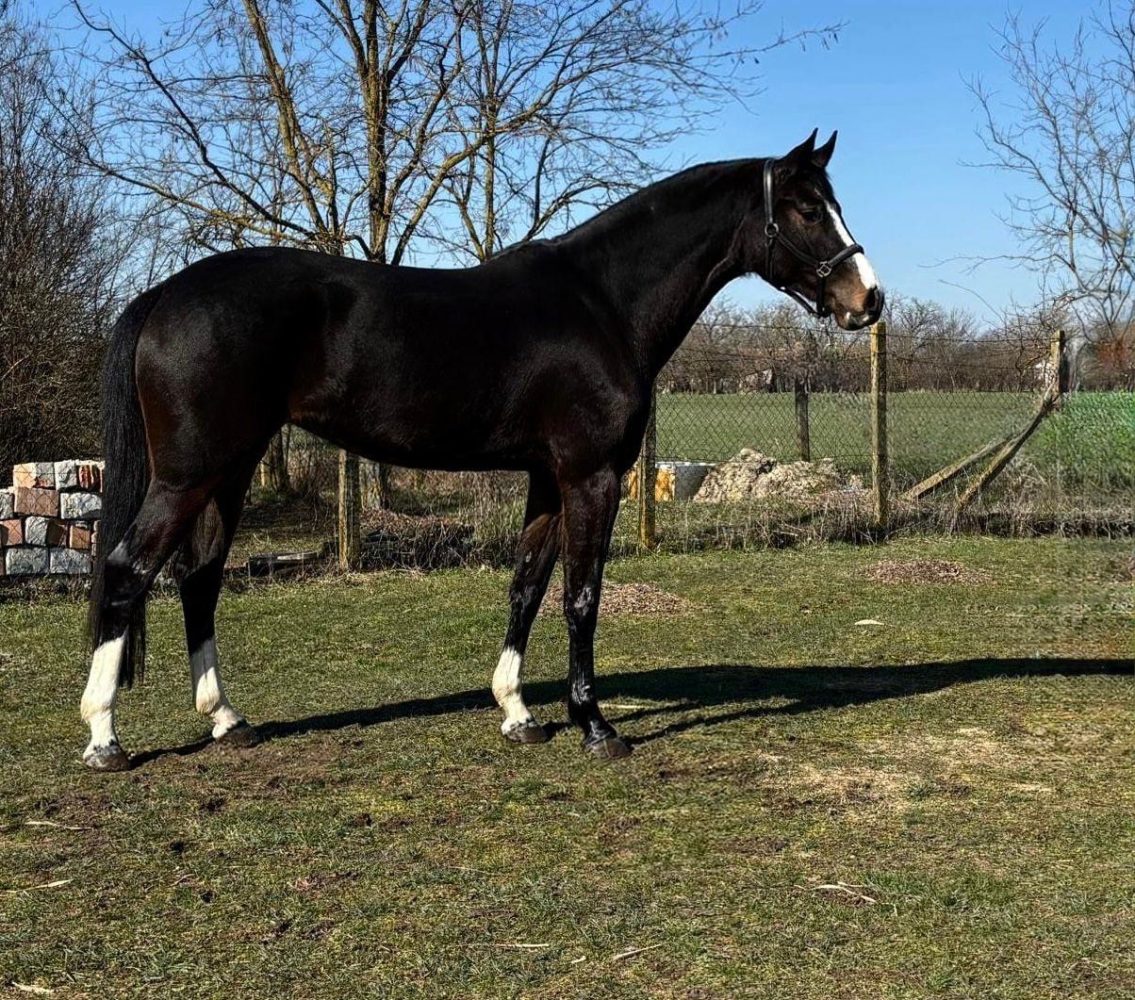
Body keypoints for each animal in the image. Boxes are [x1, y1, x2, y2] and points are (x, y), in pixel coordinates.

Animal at [81, 129, 883, 771]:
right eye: (807, 208)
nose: (867, 300)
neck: (602, 303)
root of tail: (164, 294)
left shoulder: (546, 479)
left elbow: (527, 584)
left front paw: (518, 714)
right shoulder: (591, 477)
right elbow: (582, 595)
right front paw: (595, 727)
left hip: (231, 472)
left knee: (199, 578)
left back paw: (226, 719)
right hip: (187, 476)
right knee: (126, 570)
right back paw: (104, 738)